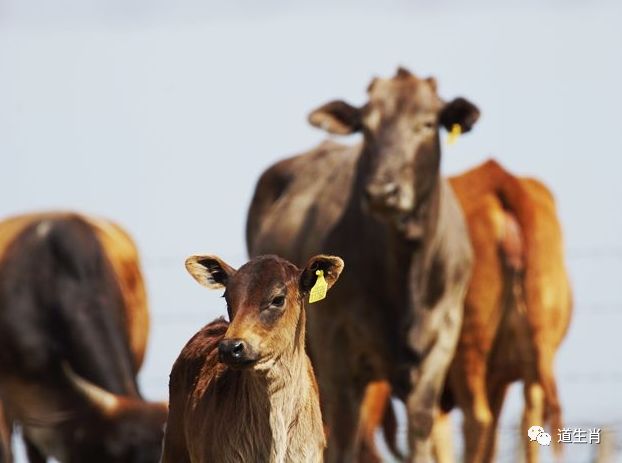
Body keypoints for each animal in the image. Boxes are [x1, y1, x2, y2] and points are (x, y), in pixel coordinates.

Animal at [246, 67, 480, 462]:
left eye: (427, 123)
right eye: (366, 128)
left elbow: (420, 429)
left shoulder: (441, 341)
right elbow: (342, 439)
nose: (383, 192)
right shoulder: (338, 355)